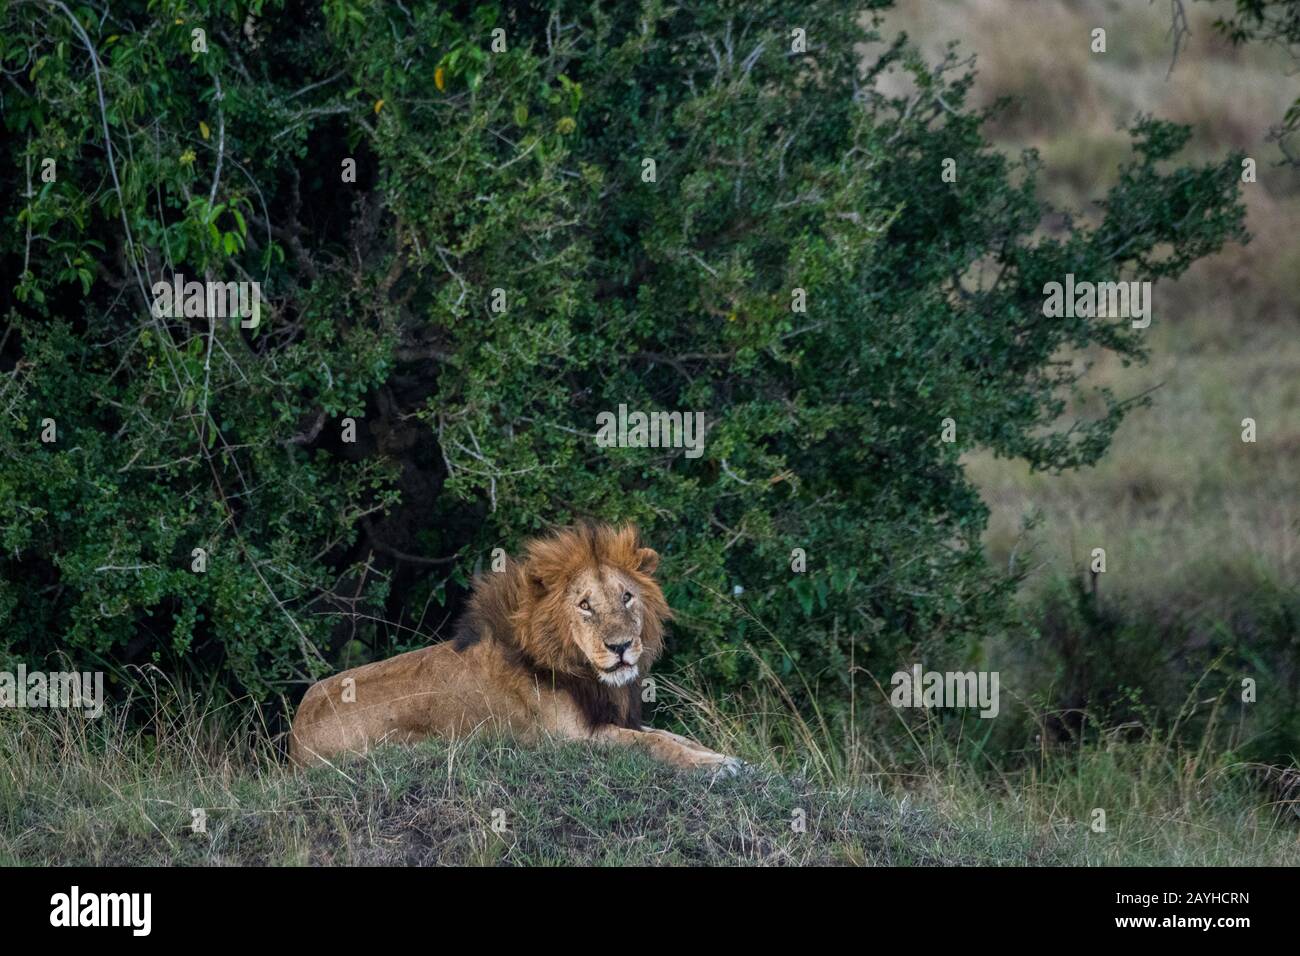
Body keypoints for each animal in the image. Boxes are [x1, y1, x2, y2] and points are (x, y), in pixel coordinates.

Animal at [289, 523, 741, 773]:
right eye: (585, 605)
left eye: (627, 596)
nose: (622, 647)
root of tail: (294, 735)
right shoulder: (571, 739)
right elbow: (654, 744)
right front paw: (716, 768)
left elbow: (672, 734)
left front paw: (726, 757)